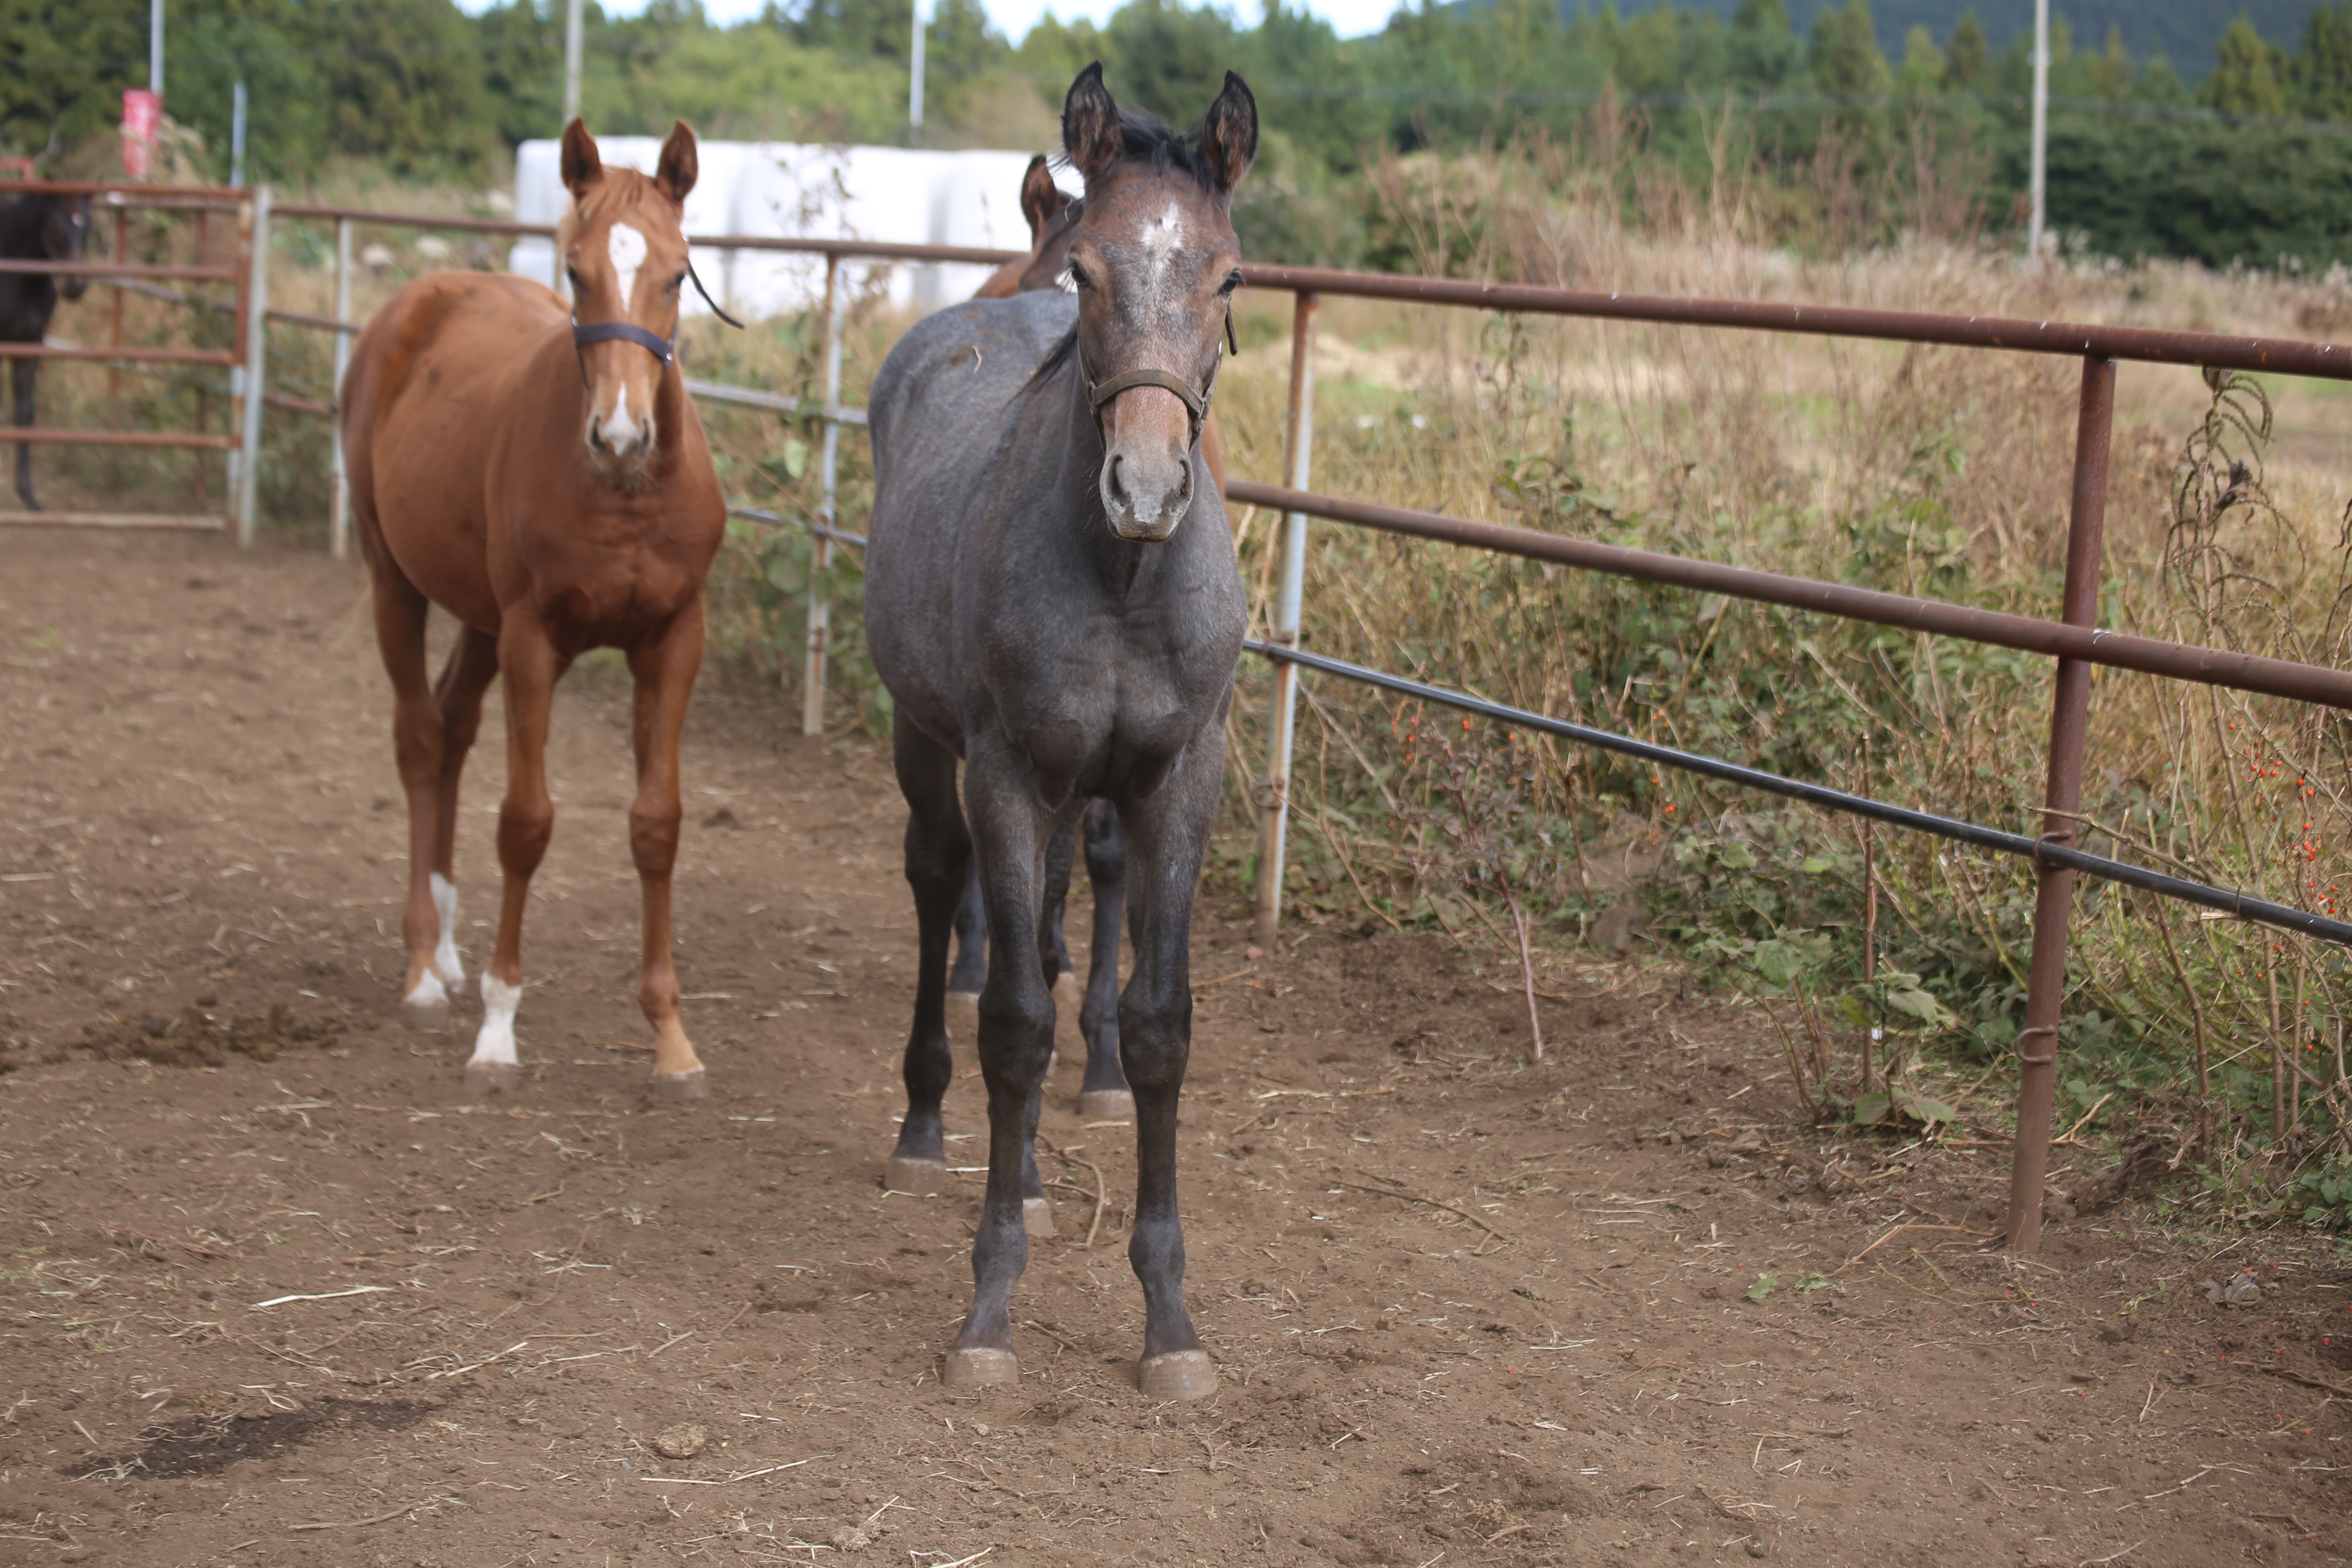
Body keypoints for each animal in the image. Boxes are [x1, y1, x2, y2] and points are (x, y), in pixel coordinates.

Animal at [2, 189, 94, 510]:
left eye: (88, 227)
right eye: (55, 227)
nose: (75, 286)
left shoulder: (28, 346)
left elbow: (25, 413)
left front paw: (28, 496)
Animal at [343, 122, 724, 1100]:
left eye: (677, 273)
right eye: (575, 270)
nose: (620, 436)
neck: (627, 495)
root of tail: (422, 297)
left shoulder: (674, 641)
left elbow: (657, 825)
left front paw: (671, 1038)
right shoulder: (532, 640)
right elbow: (526, 823)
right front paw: (499, 1026)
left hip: (476, 617)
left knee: (452, 727)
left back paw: (445, 947)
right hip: (395, 582)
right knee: (419, 739)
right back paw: (422, 965)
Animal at [865, 67, 1261, 1401]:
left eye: (1227, 277)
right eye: (1086, 270)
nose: (1144, 486)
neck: (1122, 582)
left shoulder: (1176, 781)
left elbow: (1155, 1024)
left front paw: (1172, 1323)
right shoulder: (1005, 775)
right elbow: (1014, 1022)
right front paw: (989, 1309)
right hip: (925, 741)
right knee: (940, 891)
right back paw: (925, 1129)